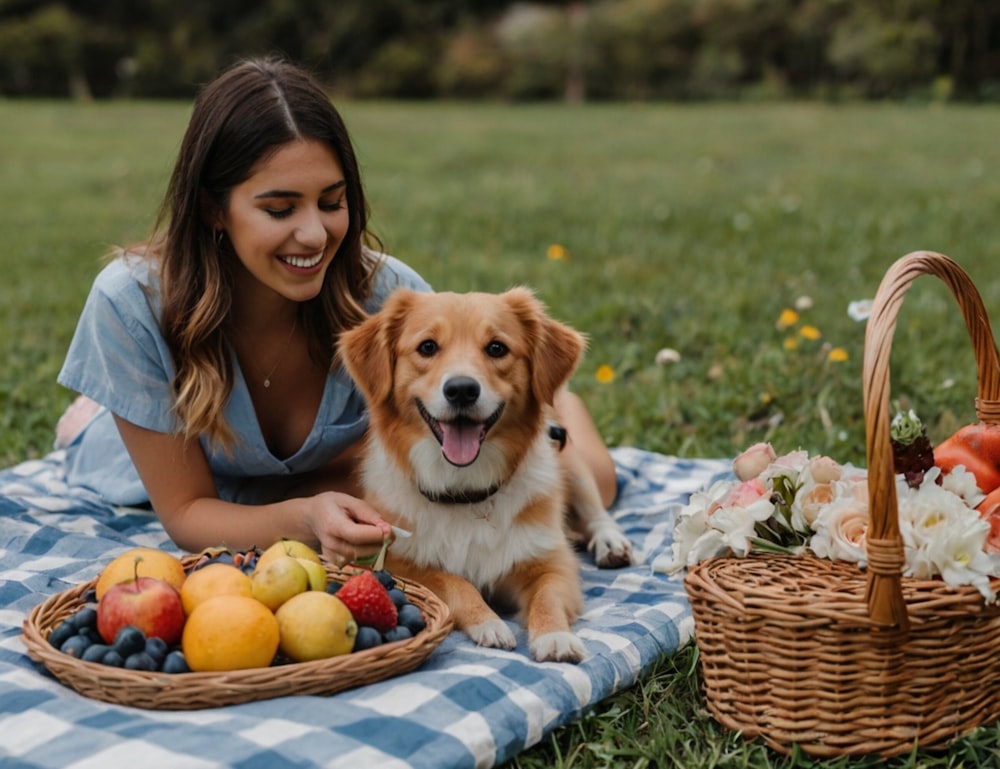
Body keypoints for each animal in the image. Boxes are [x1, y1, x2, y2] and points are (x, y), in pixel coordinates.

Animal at [338, 288, 632, 660]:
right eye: (427, 347)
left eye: (496, 348)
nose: (462, 390)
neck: (464, 491)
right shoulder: (397, 563)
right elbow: (455, 582)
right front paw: (488, 623)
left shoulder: (551, 561)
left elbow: (547, 596)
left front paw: (555, 637)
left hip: (571, 465)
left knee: (598, 514)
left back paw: (611, 544)